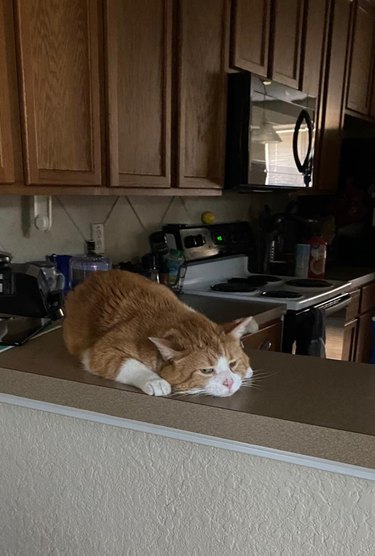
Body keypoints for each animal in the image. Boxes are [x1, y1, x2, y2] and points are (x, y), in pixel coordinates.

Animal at [64, 270, 258, 396]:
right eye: (206, 370)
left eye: (232, 364)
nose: (229, 382)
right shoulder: (100, 350)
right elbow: (129, 364)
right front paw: (154, 381)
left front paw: (246, 370)